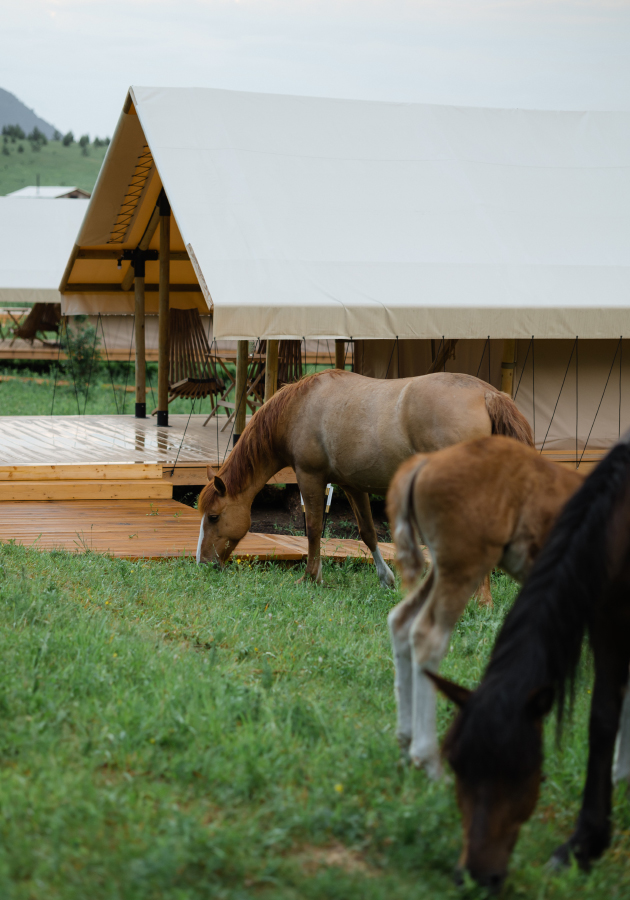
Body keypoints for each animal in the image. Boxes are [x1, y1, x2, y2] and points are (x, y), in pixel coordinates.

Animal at [198, 368, 532, 584]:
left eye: (214, 517)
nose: (203, 563)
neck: (299, 408)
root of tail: (488, 394)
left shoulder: (310, 477)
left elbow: (313, 529)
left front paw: (312, 577)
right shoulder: (352, 485)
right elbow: (368, 532)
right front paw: (386, 578)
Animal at [388, 432, 584, 776]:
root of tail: (425, 461)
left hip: (442, 567)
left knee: (402, 621)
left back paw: (405, 742)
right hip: (465, 565)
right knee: (427, 635)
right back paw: (428, 760)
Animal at [432, 432, 630, 888]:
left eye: (524, 771)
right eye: (456, 765)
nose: (476, 878)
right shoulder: (609, 619)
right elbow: (603, 720)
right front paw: (585, 844)